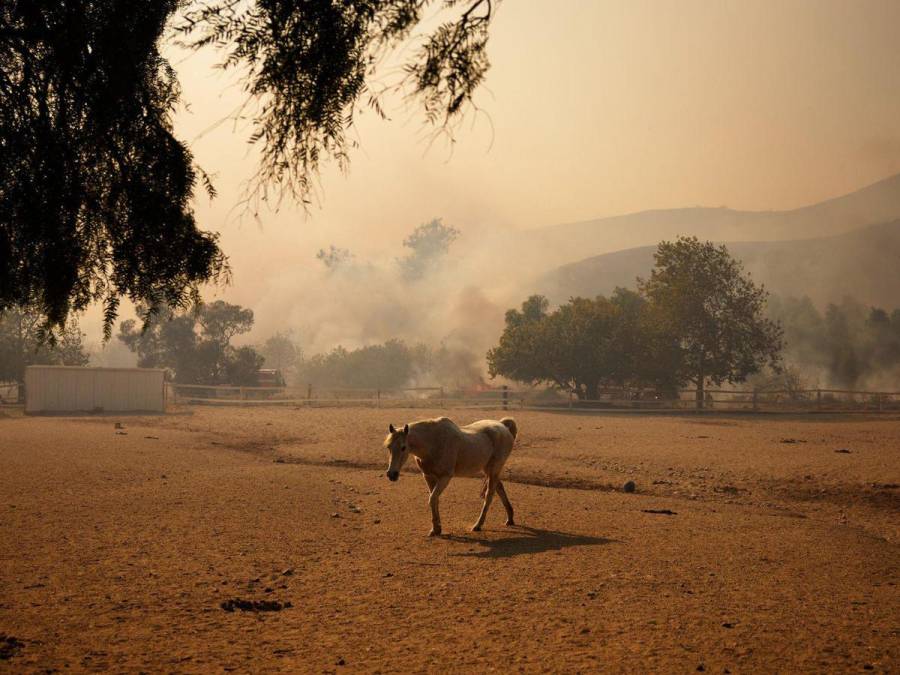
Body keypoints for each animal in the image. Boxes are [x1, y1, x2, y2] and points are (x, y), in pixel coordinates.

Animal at [382, 414, 520, 536]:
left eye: (403, 447)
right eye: (389, 447)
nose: (391, 474)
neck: (433, 443)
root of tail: (503, 426)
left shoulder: (445, 477)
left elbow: (432, 499)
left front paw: (436, 528)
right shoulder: (428, 476)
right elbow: (434, 500)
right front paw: (436, 529)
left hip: (493, 470)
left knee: (489, 496)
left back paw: (478, 525)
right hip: (489, 471)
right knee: (500, 488)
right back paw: (510, 518)